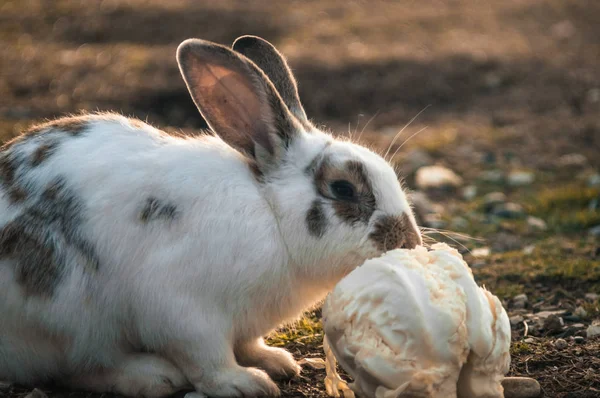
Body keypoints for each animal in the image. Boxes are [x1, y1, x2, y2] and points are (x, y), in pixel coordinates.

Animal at [0, 35, 422, 398]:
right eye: (343, 189)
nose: (409, 242)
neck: (271, 213)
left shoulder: (243, 323)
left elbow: (247, 343)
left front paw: (275, 361)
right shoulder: (184, 310)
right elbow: (207, 360)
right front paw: (244, 383)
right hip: (66, 314)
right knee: (72, 366)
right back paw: (150, 375)